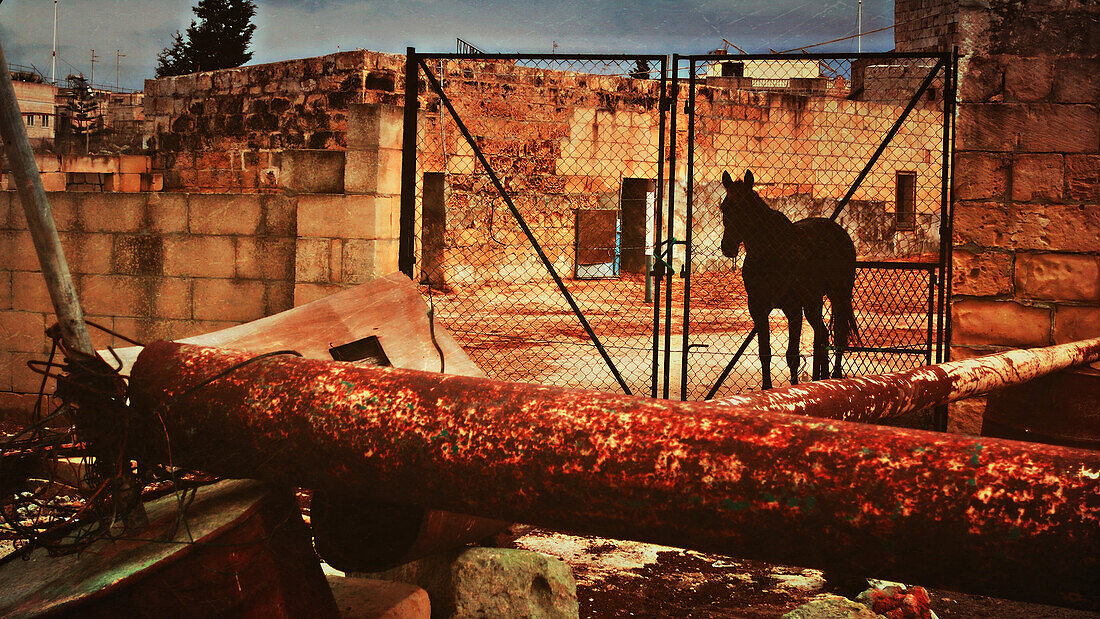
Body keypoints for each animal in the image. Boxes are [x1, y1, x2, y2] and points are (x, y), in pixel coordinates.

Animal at [717, 169, 862, 389]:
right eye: (724, 207)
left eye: (744, 207)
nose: (728, 247)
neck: (769, 254)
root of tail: (841, 232)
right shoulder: (758, 308)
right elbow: (764, 352)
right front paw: (766, 389)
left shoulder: (793, 307)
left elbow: (792, 355)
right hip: (813, 302)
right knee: (822, 334)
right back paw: (822, 379)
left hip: (839, 295)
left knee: (839, 334)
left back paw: (835, 377)